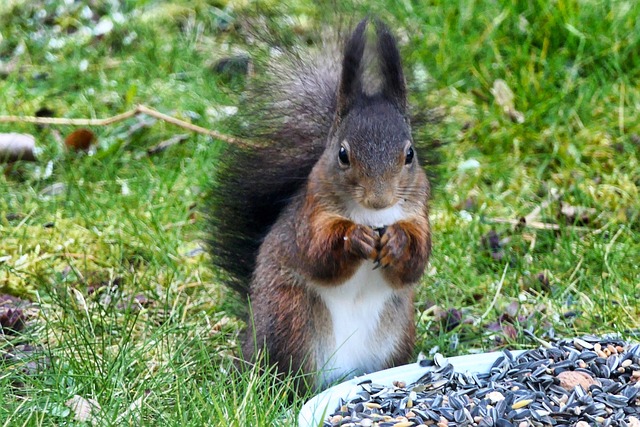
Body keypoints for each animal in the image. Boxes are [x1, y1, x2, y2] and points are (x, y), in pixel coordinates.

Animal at [208, 19, 432, 394]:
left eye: (410, 154)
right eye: (342, 154)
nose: (380, 198)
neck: (372, 216)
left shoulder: (419, 212)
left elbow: (416, 261)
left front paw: (398, 242)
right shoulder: (311, 213)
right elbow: (318, 254)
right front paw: (355, 238)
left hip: (397, 329)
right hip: (291, 319)